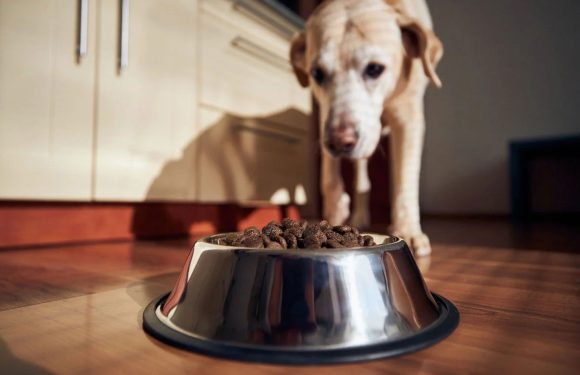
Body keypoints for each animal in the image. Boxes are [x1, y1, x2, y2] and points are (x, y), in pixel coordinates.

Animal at [290, 0, 444, 256]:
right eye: (317, 74)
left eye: (374, 69)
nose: (339, 142)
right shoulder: (326, 117)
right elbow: (329, 176)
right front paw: (335, 211)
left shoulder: (409, 115)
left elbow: (406, 179)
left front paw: (409, 231)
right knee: (362, 180)